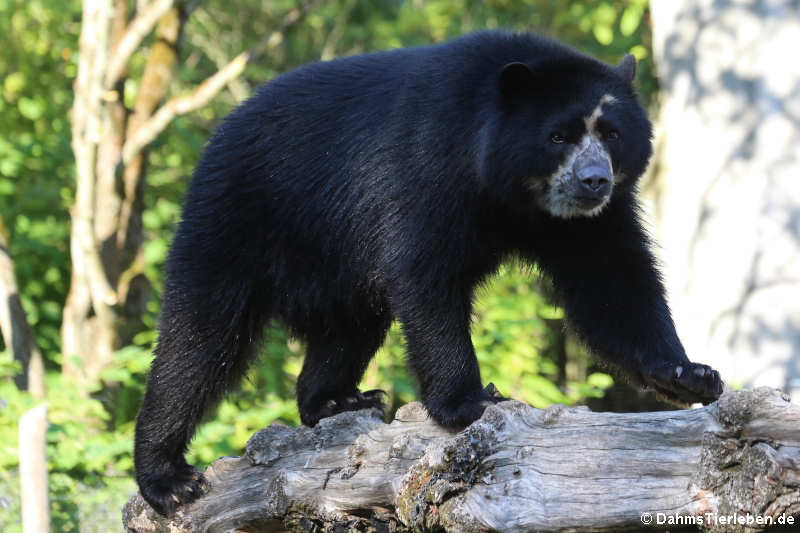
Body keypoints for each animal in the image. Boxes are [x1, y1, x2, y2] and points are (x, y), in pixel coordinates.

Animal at [133, 30, 724, 516]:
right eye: (559, 136)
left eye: (613, 134)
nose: (594, 181)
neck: (514, 193)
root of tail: (220, 134)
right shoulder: (427, 166)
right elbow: (425, 275)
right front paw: (473, 402)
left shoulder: (585, 225)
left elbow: (614, 284)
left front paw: (690, 375)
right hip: (237, 219)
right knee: (198, 342)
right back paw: (167, 479)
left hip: (334, 269)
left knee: (349, 330)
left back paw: (336, 400)